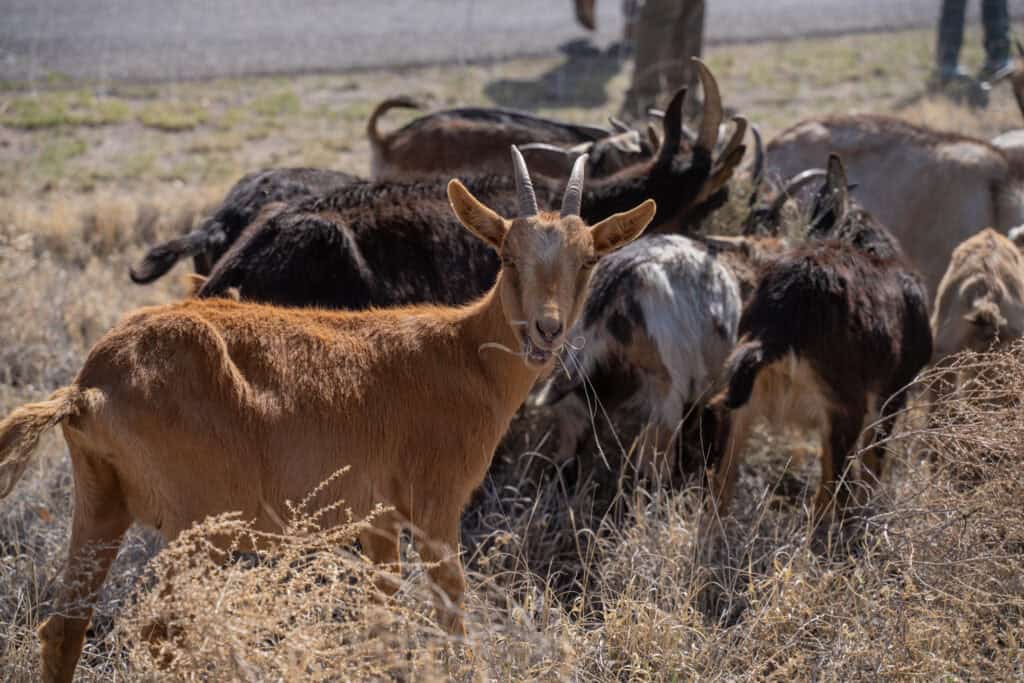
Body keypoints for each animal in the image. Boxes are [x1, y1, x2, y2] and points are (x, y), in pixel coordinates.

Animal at [708, 156, 932, 517]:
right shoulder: (893, 395)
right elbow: (869, 474)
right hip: (846, 412)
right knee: (830, 499)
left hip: (740, 404)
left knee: (720, 491)